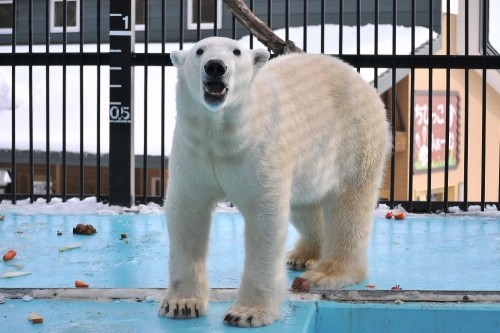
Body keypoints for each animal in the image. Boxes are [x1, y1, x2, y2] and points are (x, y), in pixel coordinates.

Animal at [160, 36, 390, 326]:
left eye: (236, 51)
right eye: (199, 50)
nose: (215, 67)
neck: (223, 135)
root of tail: (360, 79)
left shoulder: (259, 151)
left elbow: (265, 218)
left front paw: (247, 312)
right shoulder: (193, 151)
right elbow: (187, 213)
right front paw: (182, 304)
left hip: (354, 140)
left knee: (349, 208)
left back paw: (328, 272)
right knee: (304, 204)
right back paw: (303, 256)